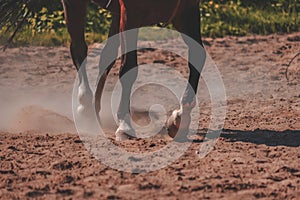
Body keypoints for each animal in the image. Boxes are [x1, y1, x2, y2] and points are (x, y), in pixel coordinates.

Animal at [61, 0, 205, 141]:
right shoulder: (130, 14)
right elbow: (128, 67)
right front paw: (124, 125)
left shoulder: (187, 10)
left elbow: (198, 56)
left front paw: (181, 117)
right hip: (75, 4)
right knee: (78, 49)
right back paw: (85, 105)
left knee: (107, 55)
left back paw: (95, 109)